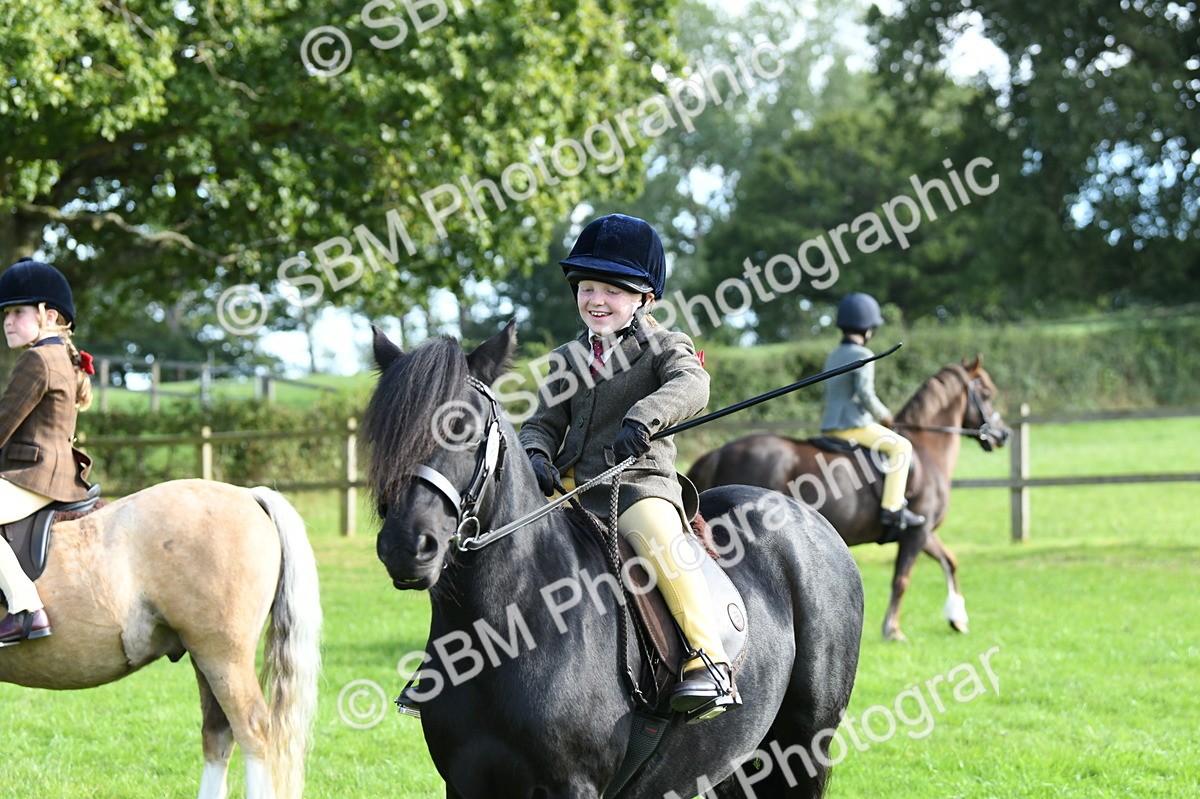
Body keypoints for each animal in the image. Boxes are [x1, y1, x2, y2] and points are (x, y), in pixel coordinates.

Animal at [364, 321, 864, 799]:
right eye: (383, 434)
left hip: (801, 743)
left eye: (463, 428)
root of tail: (804, 514)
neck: (510, 625)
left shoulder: (575, 785)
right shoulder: (464, 783)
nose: (407, 546)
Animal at [687, 357, 1011, 642]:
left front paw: (957, 618)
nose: (1004, 434)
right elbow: (901, 580)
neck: (927, 449)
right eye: (986, 393)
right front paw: (892, 630)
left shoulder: (922, 530)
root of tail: (719, 452)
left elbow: (950, 561)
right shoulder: (917, 532)